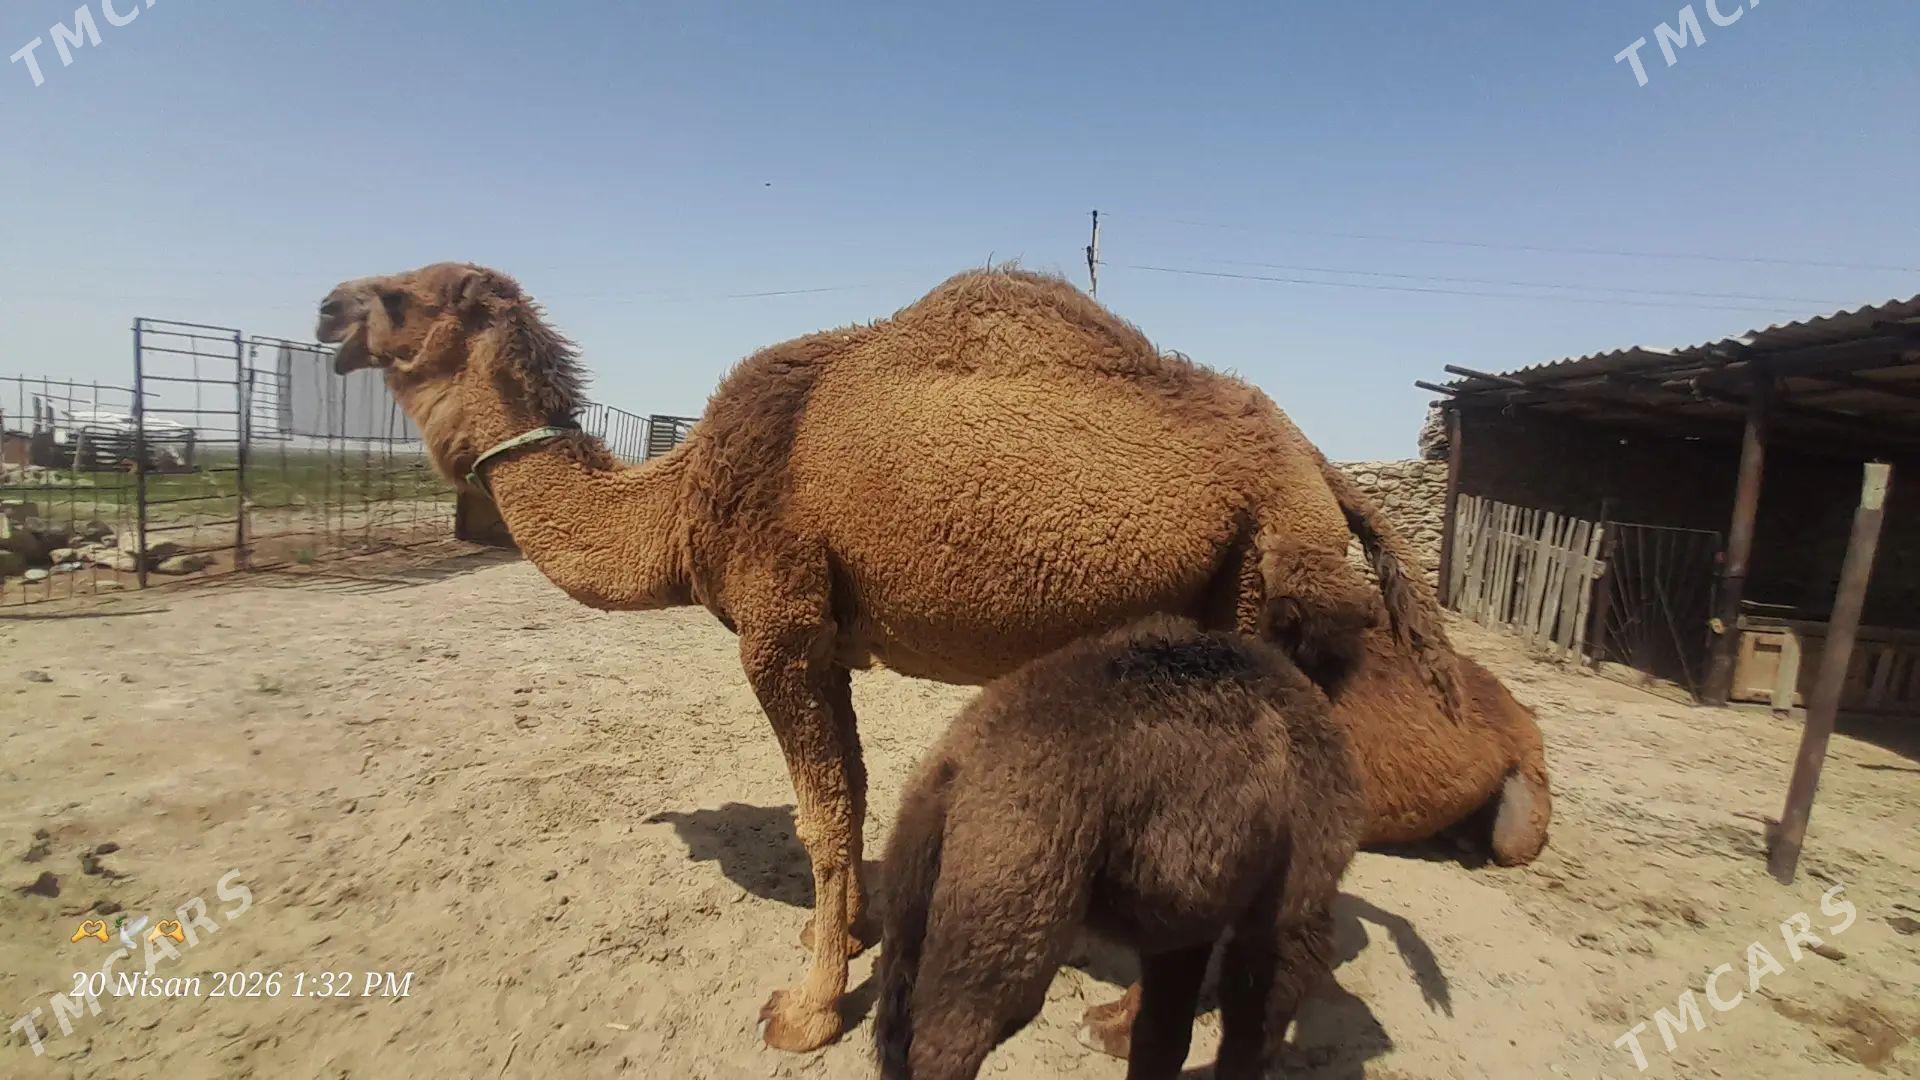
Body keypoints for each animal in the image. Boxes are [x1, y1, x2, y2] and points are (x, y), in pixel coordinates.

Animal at [875, 617, 1363, 1080]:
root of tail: (955, 766)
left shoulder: (1188, 914)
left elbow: (1162, 1034)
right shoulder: (1287, 904)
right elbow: (1251, 1025)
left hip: (916, 901)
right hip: (1009, 908)